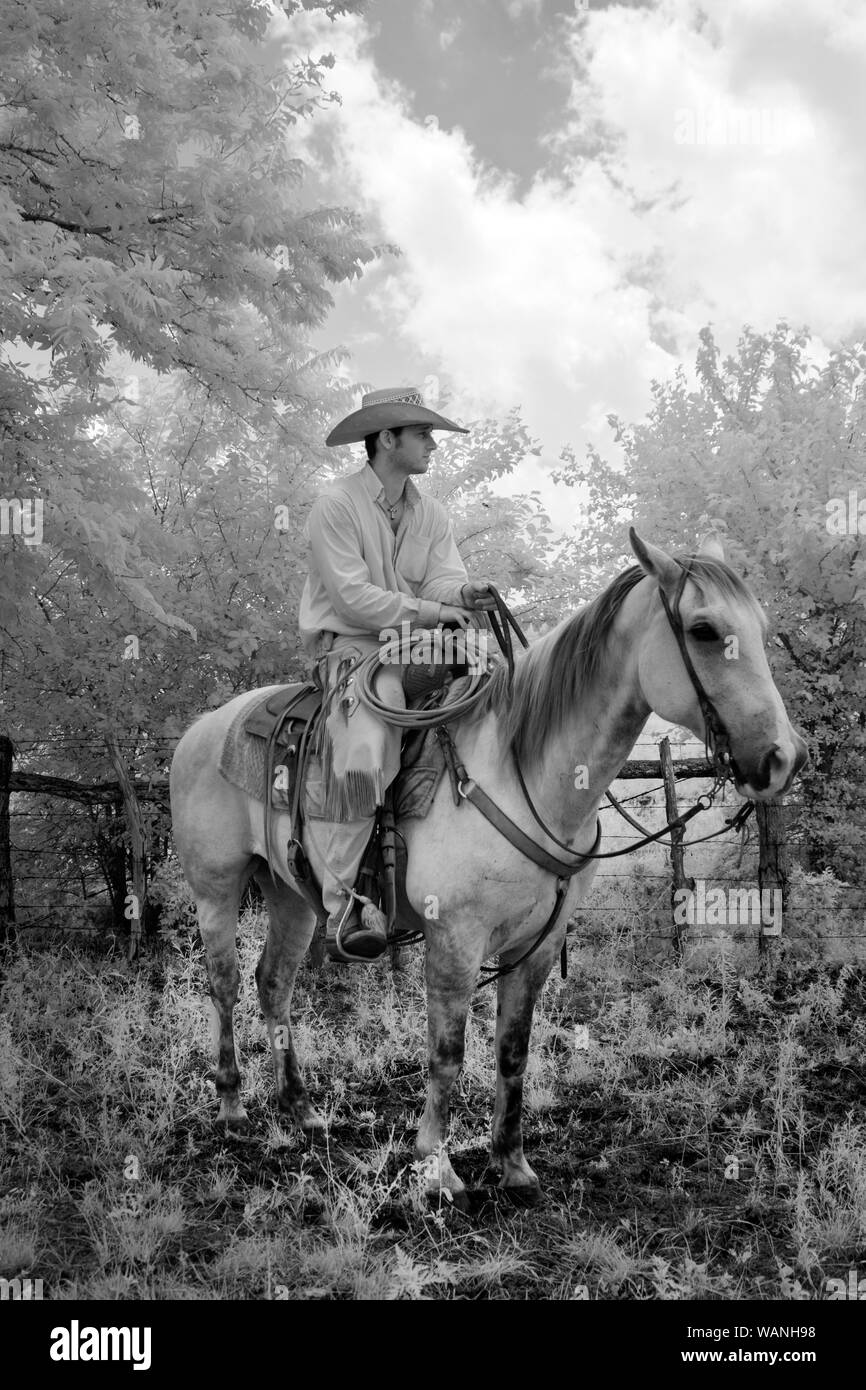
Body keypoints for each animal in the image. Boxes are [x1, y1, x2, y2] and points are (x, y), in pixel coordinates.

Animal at [169, 530, 806, 1206]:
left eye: (761, 627)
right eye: (704, 630)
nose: (783, 758)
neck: (522, 774)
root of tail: (203, 729)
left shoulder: (538, 946)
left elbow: (512, 1050)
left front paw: (513, 1164)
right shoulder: (455, 938)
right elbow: (447, 1053)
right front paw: (436, 1168)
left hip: (292, 896)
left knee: (273, 982)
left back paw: (301, 1109)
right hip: (216, 889)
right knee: (225, 983)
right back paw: (233, 1107)